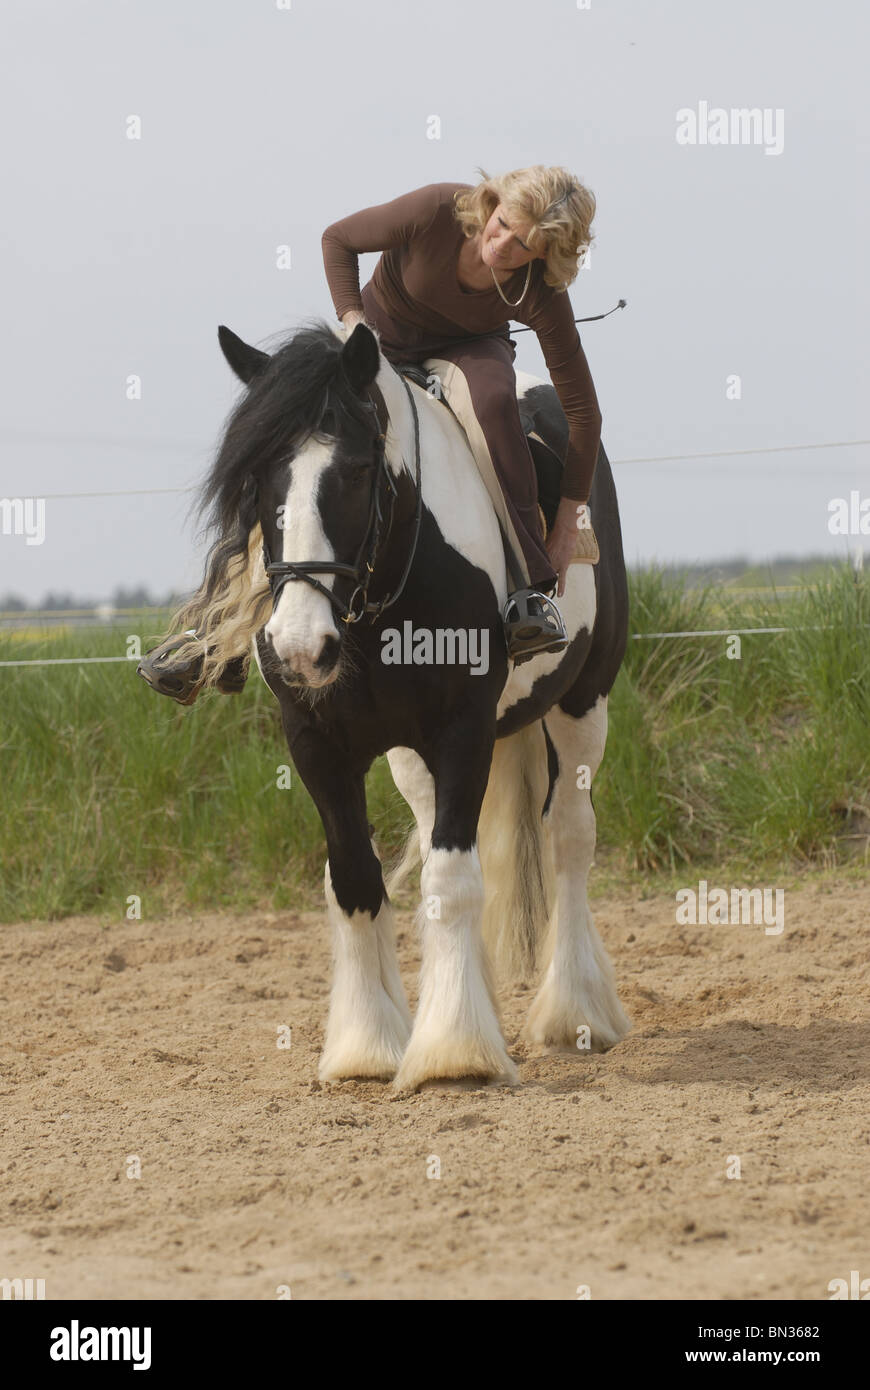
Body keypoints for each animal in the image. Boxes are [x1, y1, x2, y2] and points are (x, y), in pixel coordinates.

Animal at [171, 317, 631, 1091]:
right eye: (257, 477)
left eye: (357, 471)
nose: (301, 646)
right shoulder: (318, 743)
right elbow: (357, 880)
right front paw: (369, 1047)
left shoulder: (464, 729)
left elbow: (452, 874)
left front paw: (453, 1054)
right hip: (414, 761)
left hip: (583, 706)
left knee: (570, 838)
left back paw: (575, 1013)